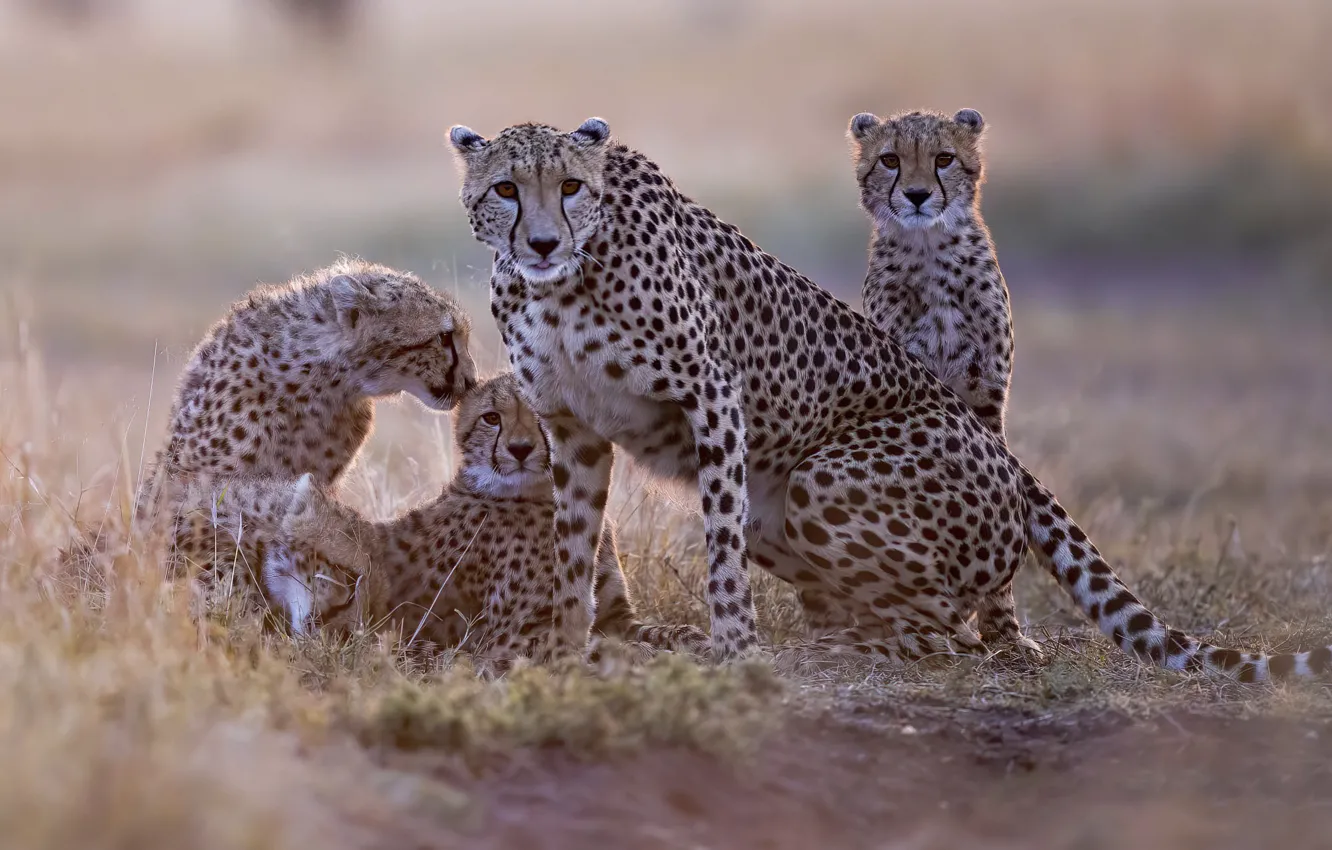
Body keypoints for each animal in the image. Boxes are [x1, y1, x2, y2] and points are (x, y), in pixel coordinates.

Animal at [446, 116, 1332, 682]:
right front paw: (565, 649)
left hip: (822, 478)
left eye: (570, 185)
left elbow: (718, 551)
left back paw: (851, 651)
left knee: (945, 627)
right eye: (505, 189)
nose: (542, 240)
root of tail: (1006, 459)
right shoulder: (570, 425)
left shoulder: (713, 398)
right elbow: (572, 546)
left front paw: (733, 650)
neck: (562, 281)